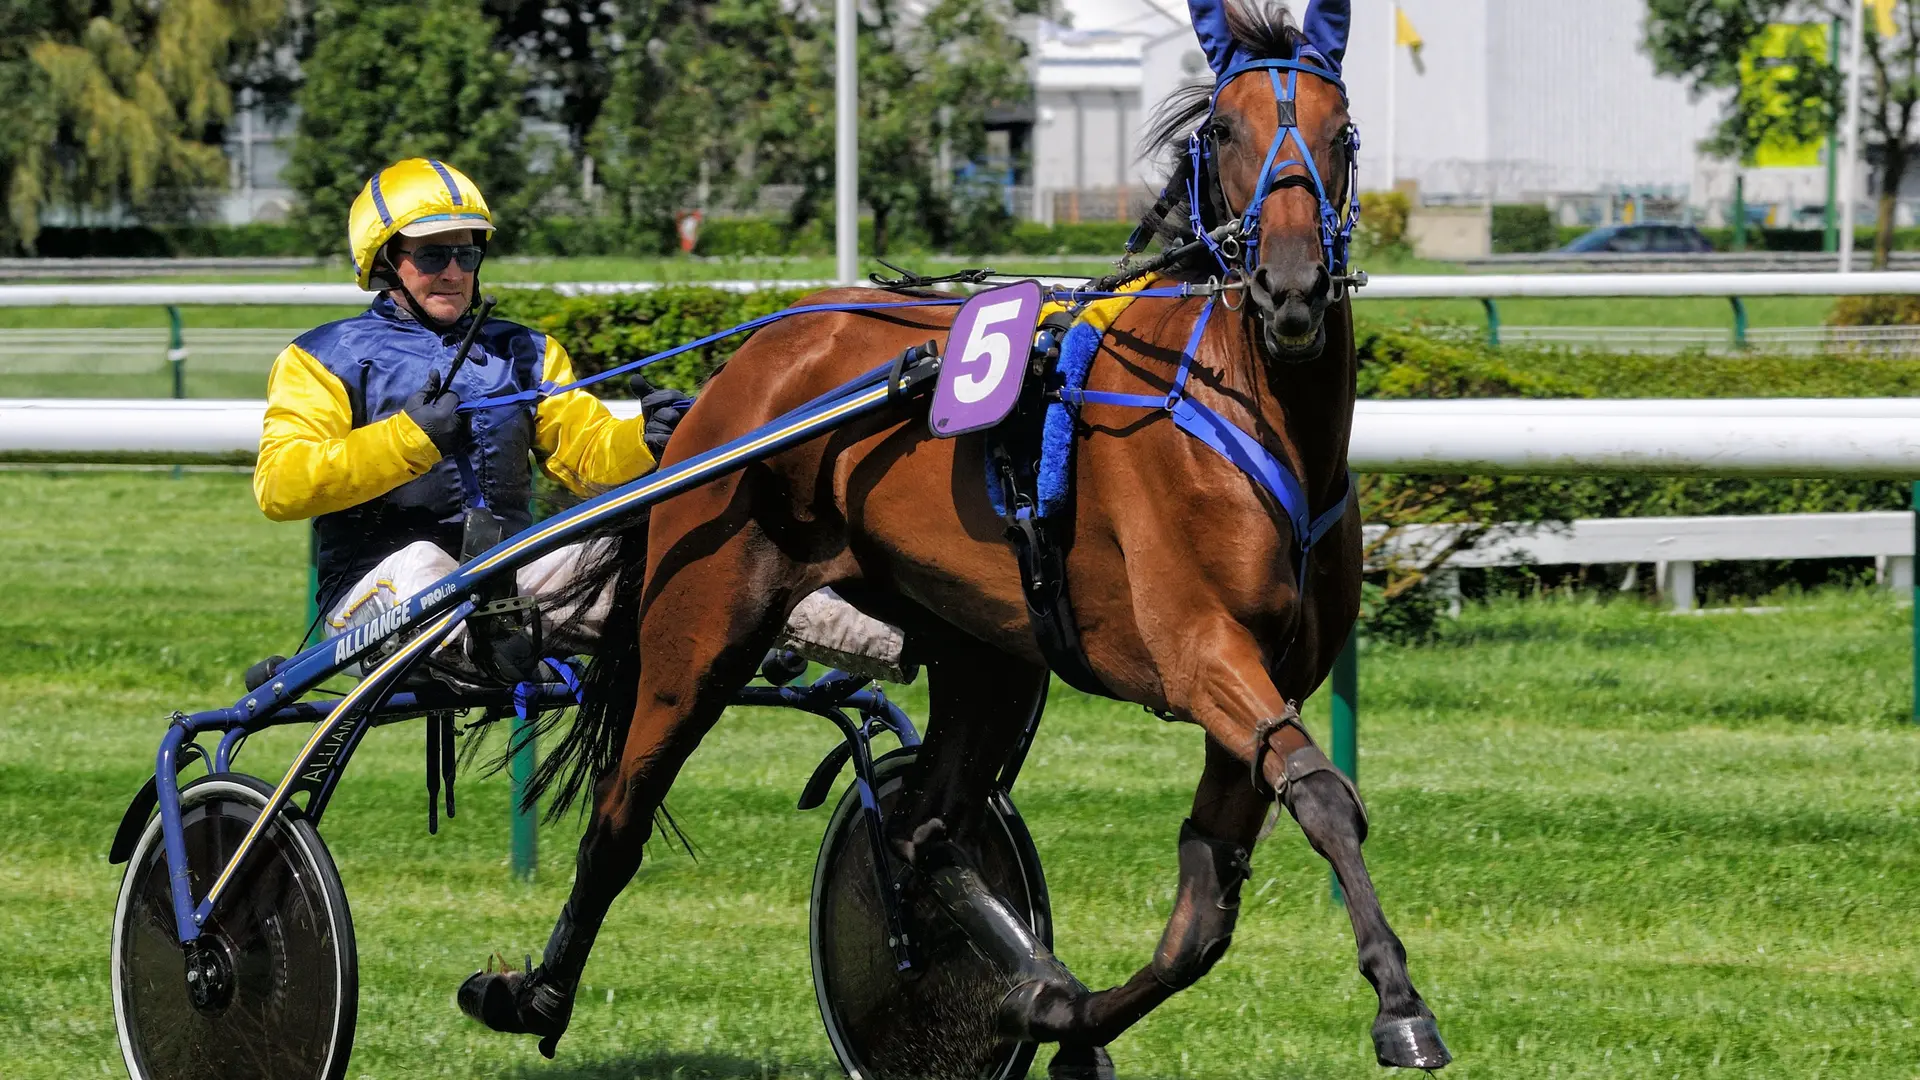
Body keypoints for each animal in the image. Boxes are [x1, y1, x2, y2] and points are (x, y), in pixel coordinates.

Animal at [468, 4, 1451, 1068]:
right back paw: (532, 993)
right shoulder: (1200, 654)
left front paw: (1058, 1014)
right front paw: (1401, 1006)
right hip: (704, 624)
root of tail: (750, 361)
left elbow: (1202, 914)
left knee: (923, 832)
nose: (1292, 289)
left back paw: (1032, 984)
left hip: (986, 650)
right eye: (1222, 130)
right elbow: (1321, 796)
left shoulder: (1268, 680)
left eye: (1340, 128)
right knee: (623, 810)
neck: (1249, 414)